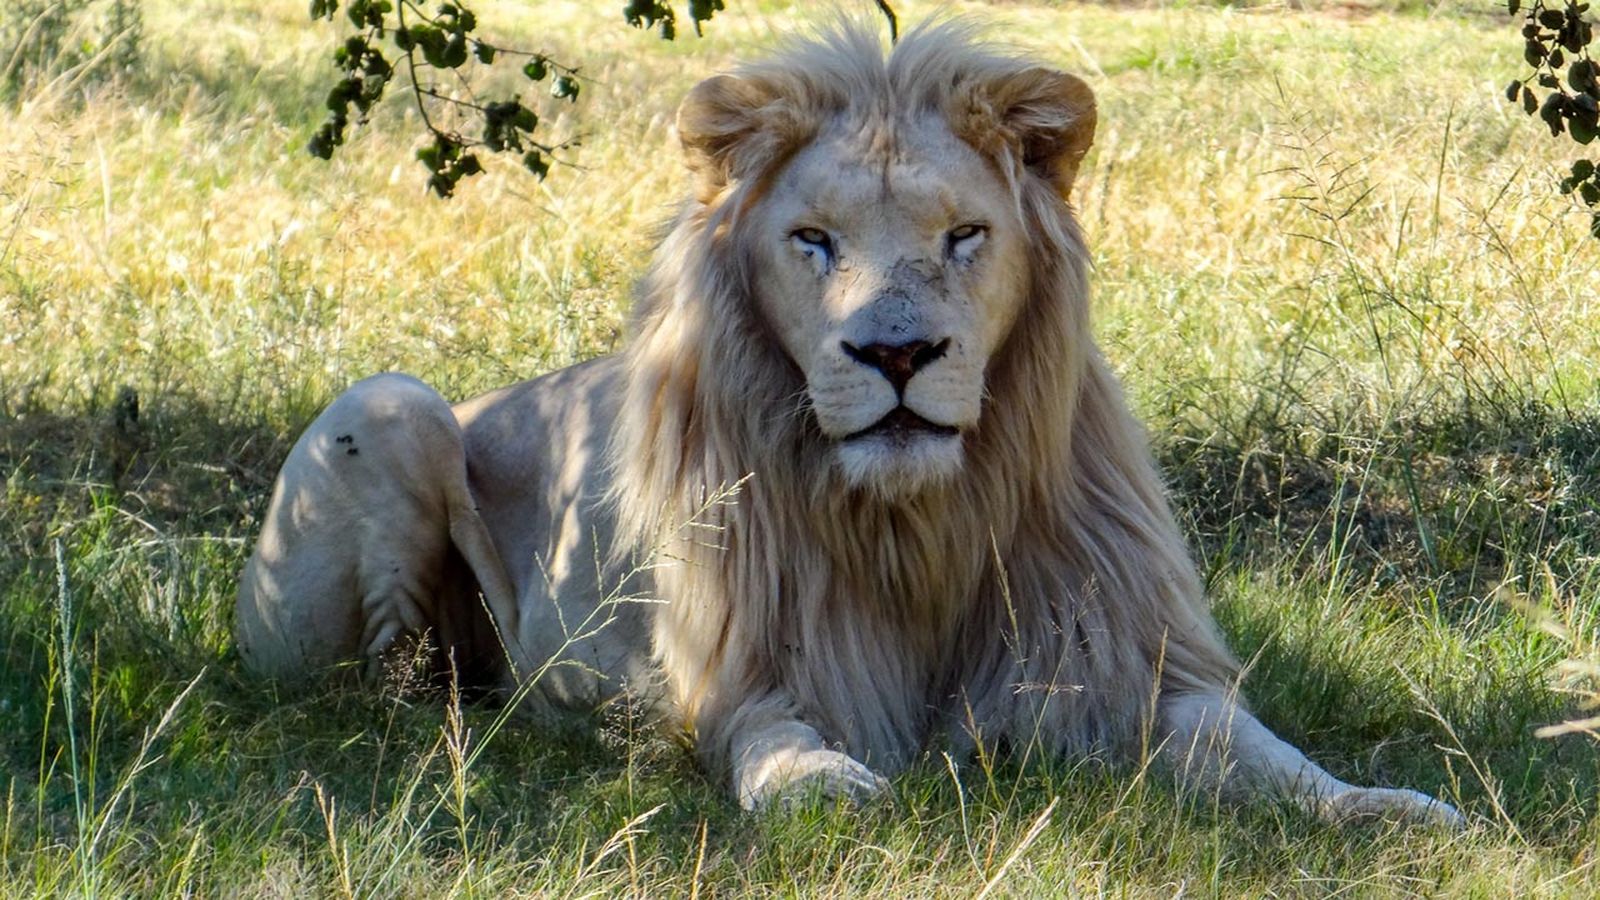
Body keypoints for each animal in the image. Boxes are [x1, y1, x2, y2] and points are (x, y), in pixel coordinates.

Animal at [236, 20, 1461, 825]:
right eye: (813, 240)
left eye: (965, 234)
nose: (897, 354)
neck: (917, 524)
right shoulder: (742, 670)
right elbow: (771, 739)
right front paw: (819, 788)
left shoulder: (1124, 661)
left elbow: (1260, 750)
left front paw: (1387, 808)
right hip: (391, 406)